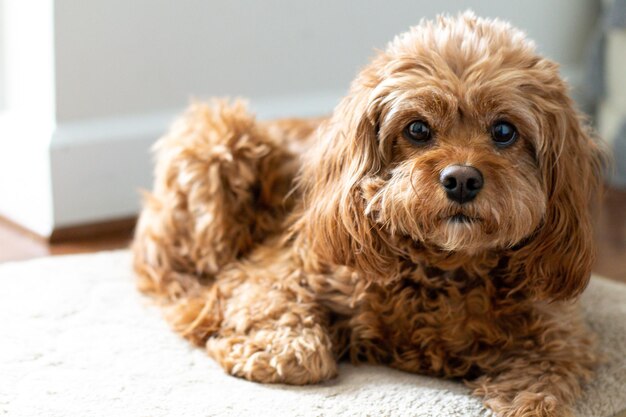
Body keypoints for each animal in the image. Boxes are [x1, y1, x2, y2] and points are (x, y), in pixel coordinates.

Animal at [133, 13, 604, 416]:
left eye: (504, 131)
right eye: (418, 129)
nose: (461, 180)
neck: (444, 268)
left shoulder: (559, 332)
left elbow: (543, 391)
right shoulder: (275, 268)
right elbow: (290, 345)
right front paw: (278, 349)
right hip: (219, 138)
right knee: (172, 276)